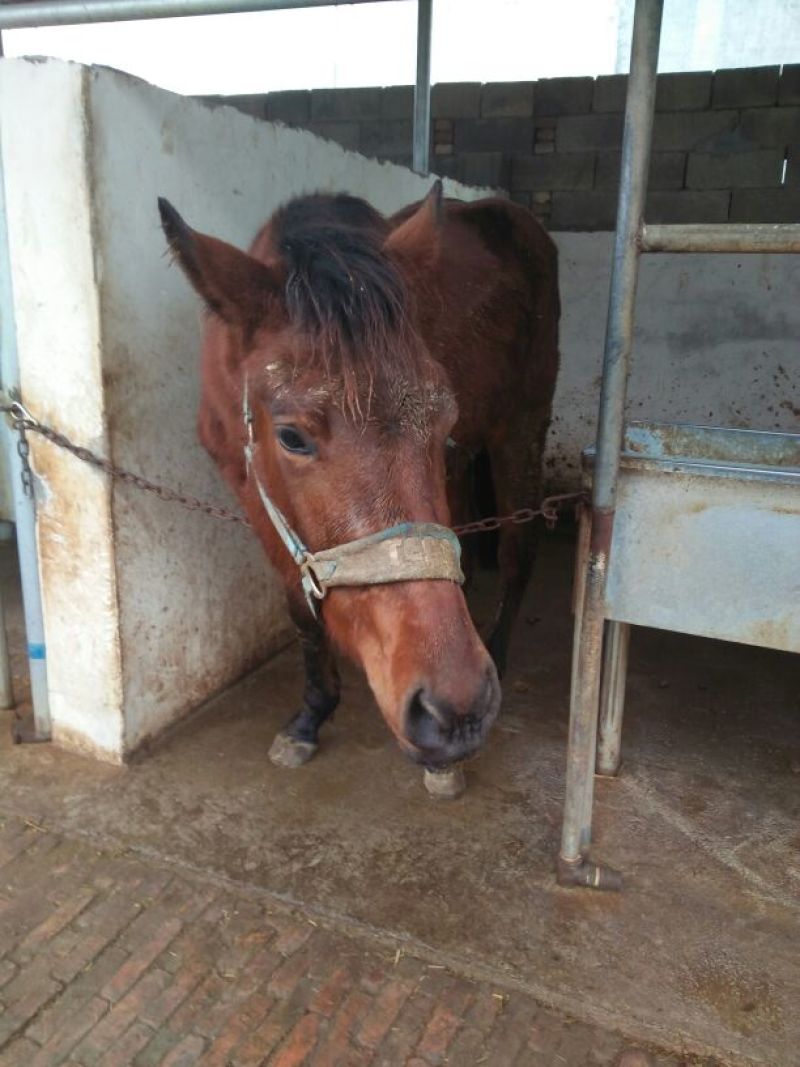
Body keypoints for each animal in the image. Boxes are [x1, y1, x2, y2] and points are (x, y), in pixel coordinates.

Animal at [158, 181, 559, 795]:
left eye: (442, 420)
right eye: (291, 436)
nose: (457, 709)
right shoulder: (256, 501)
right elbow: (299, 608)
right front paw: (311, 715)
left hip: (521, 428)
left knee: (519, 552)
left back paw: (497, 647)